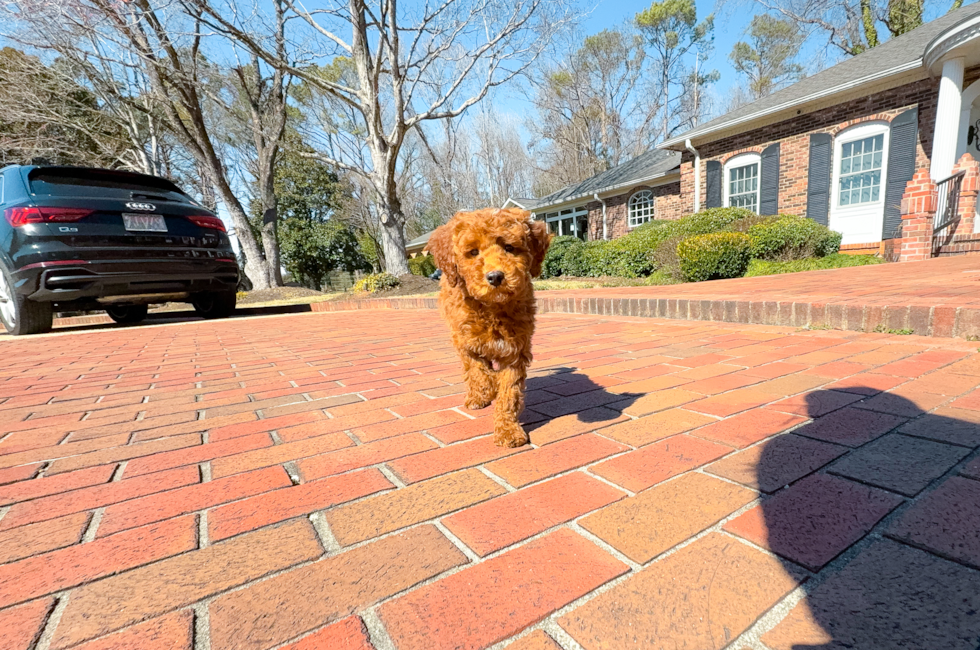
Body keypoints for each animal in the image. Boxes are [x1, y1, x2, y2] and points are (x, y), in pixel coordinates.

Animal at [426, 208, 556, 446]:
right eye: (473, 252)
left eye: (509, 247)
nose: (495, 276)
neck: (492, 308)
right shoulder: (465, 340)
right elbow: (478, 370)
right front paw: (487, 390)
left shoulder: (515, 350)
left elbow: (508, 391)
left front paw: (508, 431)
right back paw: (477, 396)